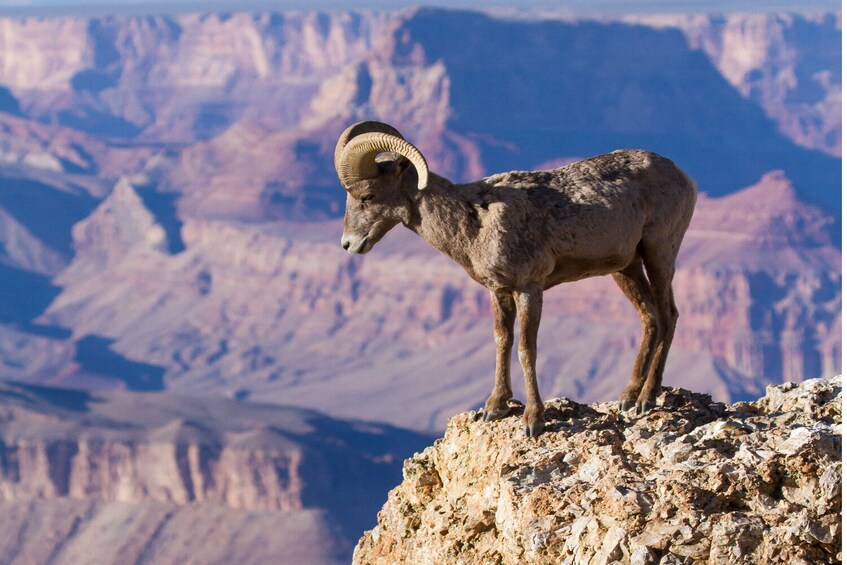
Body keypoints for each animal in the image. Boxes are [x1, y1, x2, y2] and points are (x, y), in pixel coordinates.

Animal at [334, 121, 697, 437]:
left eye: (367, 196)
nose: (349, 245)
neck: (475, 222)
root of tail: (683, 176)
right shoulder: (499, 292)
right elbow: (502, 340)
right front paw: (494, 406)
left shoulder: (529, 288)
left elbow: (526, 348)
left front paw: (533, 420)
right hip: (626, 268)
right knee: (650, 317)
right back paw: (628, 396)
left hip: (658, 252)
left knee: (668, 315)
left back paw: (646, 399)